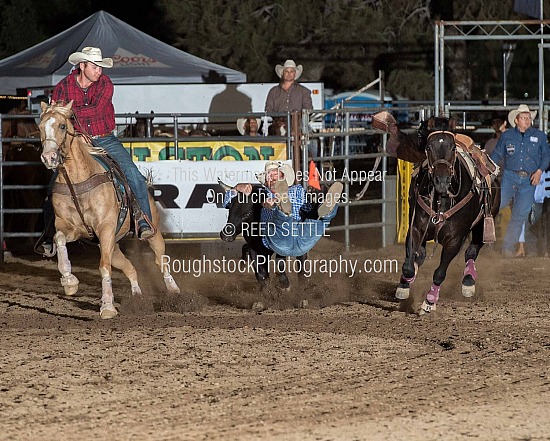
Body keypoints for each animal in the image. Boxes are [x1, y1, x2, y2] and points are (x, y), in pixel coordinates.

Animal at [37, 101, 183, 318]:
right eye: (40, 127)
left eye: (62, 126)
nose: (49, 157)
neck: (78, 181)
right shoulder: (69, 227)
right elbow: (59, 239)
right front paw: (69, 281)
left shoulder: (105, 228)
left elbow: (103, 267)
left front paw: (107, 306)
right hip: (113, 246)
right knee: (130, 268)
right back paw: (138, 299)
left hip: (152, 233)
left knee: (161, 261)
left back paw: (174, 291)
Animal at [398, 129, 502, 314]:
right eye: (428, 147)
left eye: (453, 148)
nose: (442, 180)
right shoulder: (416, 229)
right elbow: (409, 264)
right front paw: (404, 285)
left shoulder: (454, 240)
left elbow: (440, 273)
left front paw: (429, 302)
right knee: (421, 255)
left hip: (482, 225)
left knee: (471, 251)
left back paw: (468, 282)